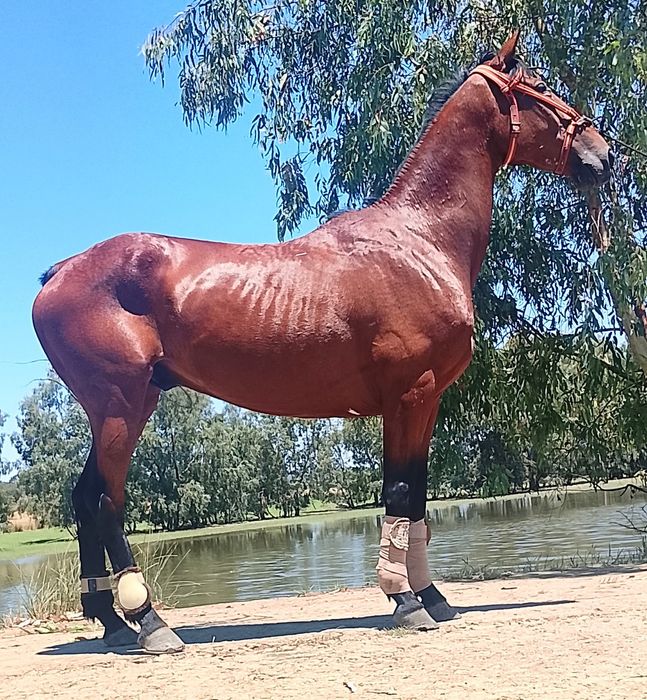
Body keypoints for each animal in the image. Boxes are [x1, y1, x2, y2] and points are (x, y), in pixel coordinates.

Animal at [32, 32, 611, 654]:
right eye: (542, 87)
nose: (604, 155)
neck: (419, 239)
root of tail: (61, 271)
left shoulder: (425, 402)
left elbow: (418, 496)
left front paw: (432, 595)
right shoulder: (408, 395)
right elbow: (400, 490)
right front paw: (407, 601)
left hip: (123, 406)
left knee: (84, 498)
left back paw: (112, 622)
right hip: (120, 406)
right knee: (106, 502)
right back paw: (149, 623)